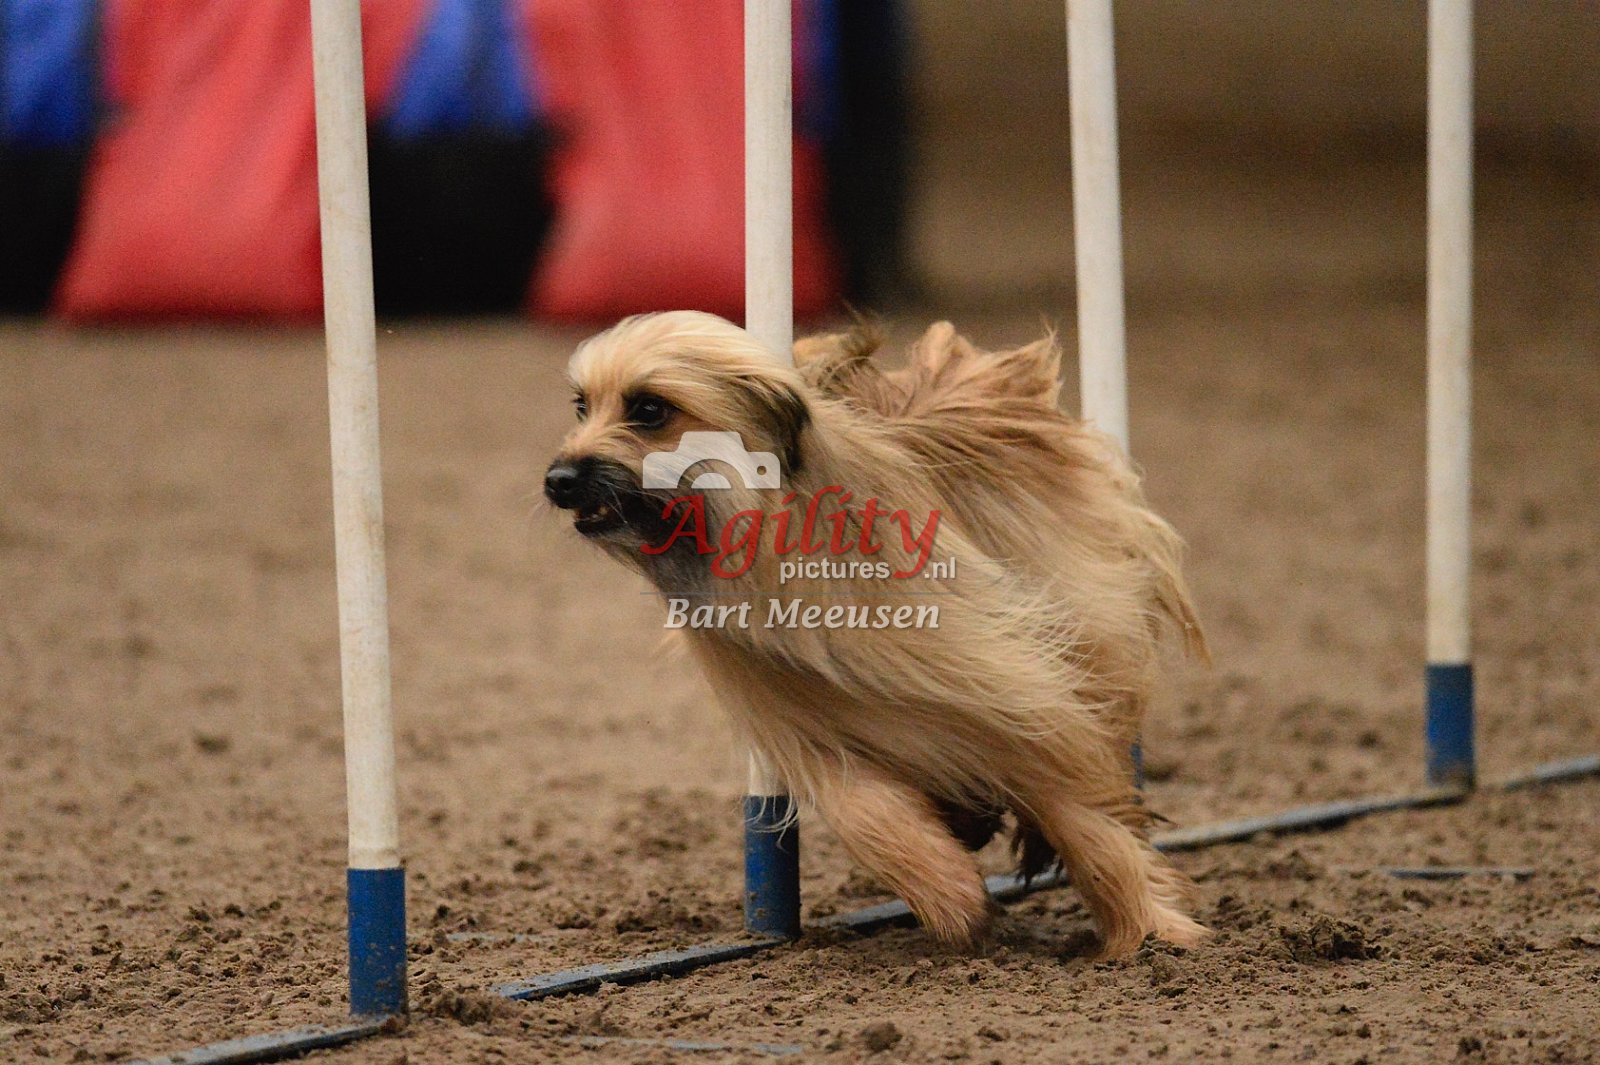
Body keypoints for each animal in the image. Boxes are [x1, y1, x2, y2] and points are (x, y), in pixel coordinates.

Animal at [544, 310, 1209, 958]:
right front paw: (951, 894)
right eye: (581, 405)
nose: (558, 479)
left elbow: (1082, 809)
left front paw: (1151, 931)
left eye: (650, 409)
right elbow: (866, 810)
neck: (772, 530)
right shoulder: (803, 718)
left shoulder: (1011, 689)